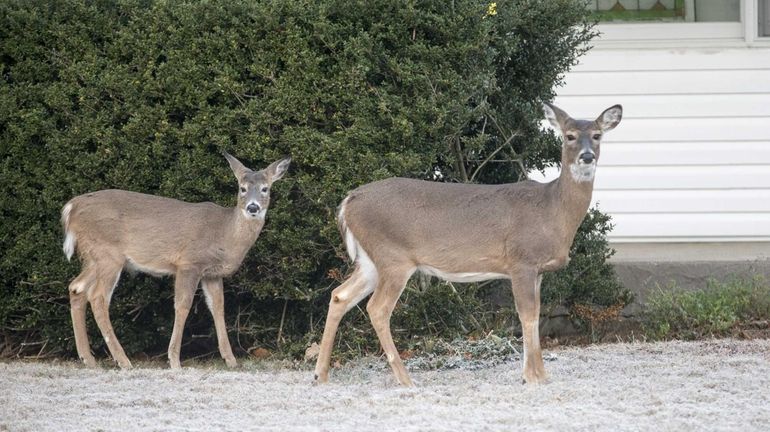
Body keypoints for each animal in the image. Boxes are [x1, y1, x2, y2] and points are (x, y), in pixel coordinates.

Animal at [61, 152, 290, 368]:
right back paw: (123, 360)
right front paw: (174, 360)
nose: (253, 207)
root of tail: (71, 207)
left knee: (77, 288)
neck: (224, 234)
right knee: (98, 297)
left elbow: (218, 307)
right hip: (108, 254)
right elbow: (182, 305)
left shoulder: (211, 274)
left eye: (265, 189)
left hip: (94, 256)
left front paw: (231, 360)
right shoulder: (189, 263)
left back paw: (88, 359)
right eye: (242, 188)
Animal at [316, 102, 620, 384]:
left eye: (597, 135)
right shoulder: (521, 260)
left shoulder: (538, 270)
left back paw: (321, 374)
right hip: (393, 257)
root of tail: (348, 202)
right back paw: (405, 379)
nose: (587, 156)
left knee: (340, 295)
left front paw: (540, 376)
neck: (552, 210)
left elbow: (533, 316)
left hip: (371, 260)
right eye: (569, 136)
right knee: (377, 309)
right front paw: (532, 377)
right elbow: (528, 316)